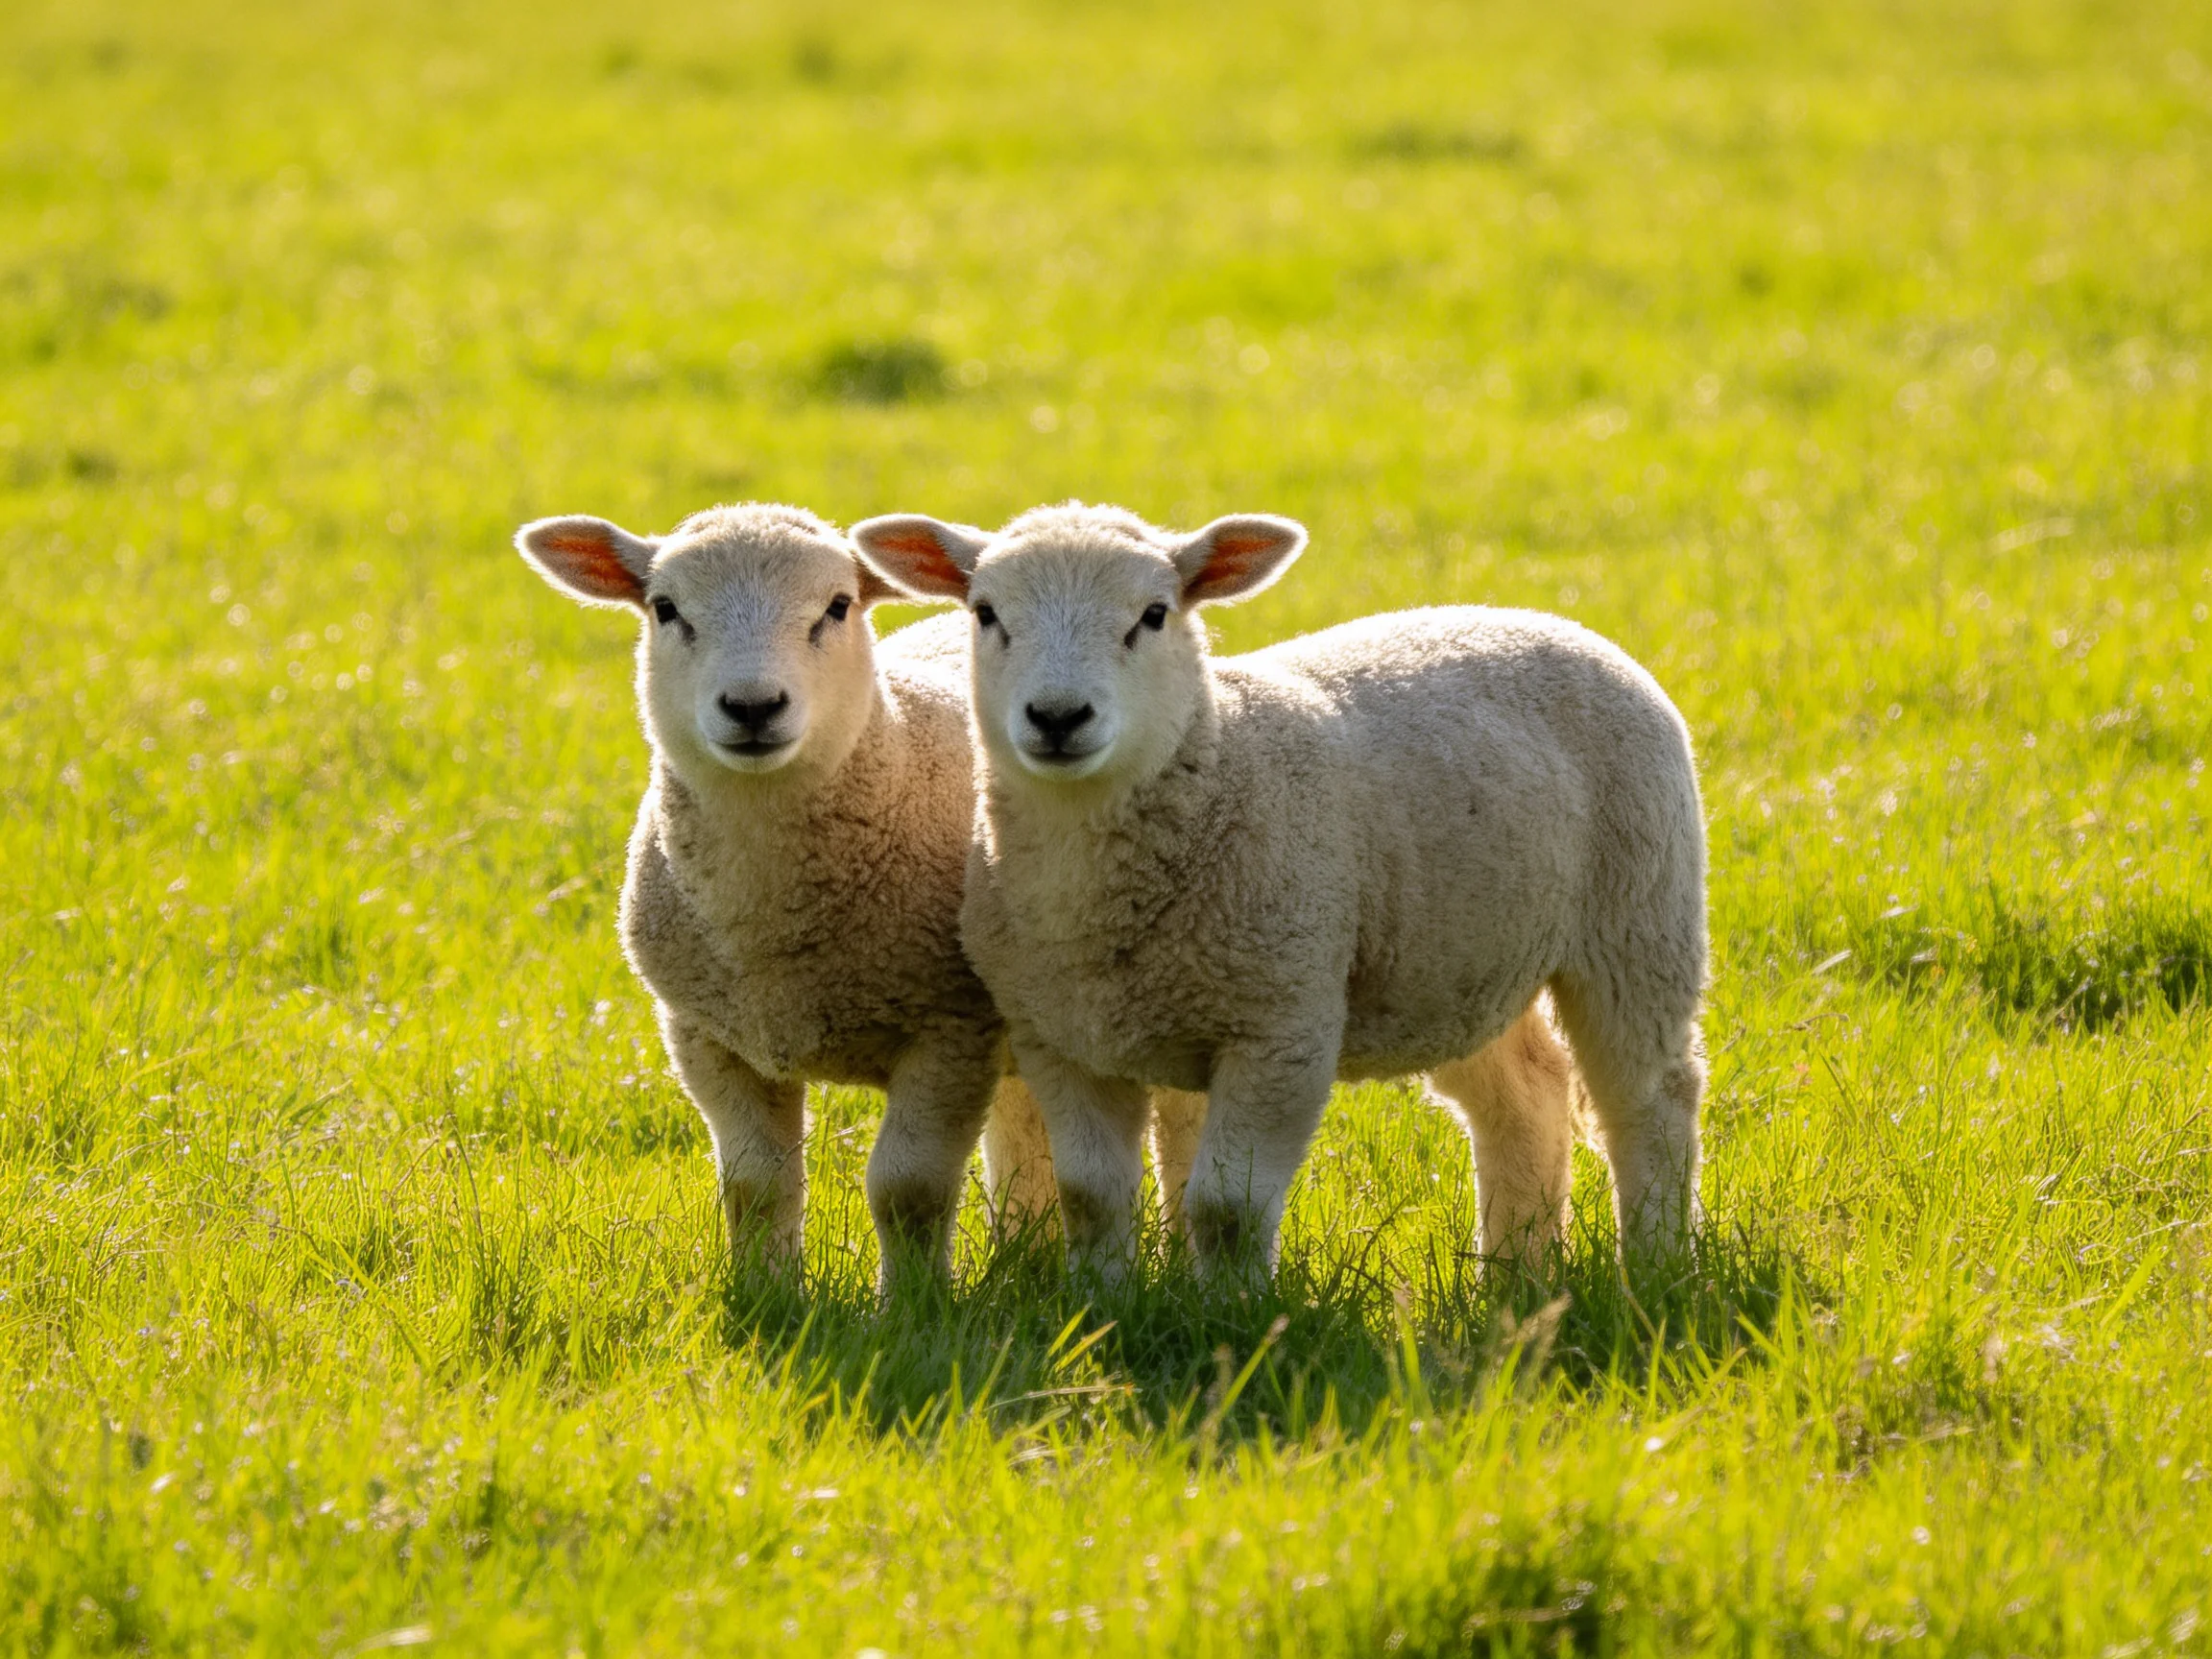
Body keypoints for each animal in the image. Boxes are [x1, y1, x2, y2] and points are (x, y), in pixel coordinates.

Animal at [514, 502, 1071, 1289]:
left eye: (837, 607)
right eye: (665, 609)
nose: (752, 707)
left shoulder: (951, 1030)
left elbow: (908, 1187)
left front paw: (913, 1304)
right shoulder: (706, 1035)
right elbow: (755, 1184)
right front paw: (766, 1294)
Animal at [851, 503, 1709, 1281]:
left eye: (1154, 615)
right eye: (986, 613)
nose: (1058, 717)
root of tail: (1542, 619)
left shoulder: (1281, 1025)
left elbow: (1226, 1209)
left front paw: (1232, 1312)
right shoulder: (1063, 1038)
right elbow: (1091, 1196)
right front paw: (1102, 1307)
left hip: (1639, 917)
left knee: (1650, 1101)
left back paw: (1655, 1266)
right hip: (1460, 960)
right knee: (1527, 1095)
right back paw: (1515, 1277)